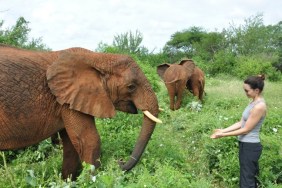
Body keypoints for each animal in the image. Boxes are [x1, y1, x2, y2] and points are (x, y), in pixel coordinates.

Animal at [0, 44, 162, 181]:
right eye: (131, 87)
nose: (120, 161)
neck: (98, 58)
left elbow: (72, 146)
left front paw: (67, 181)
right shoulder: (68, 99)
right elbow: (89, 140)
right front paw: (89, 181)